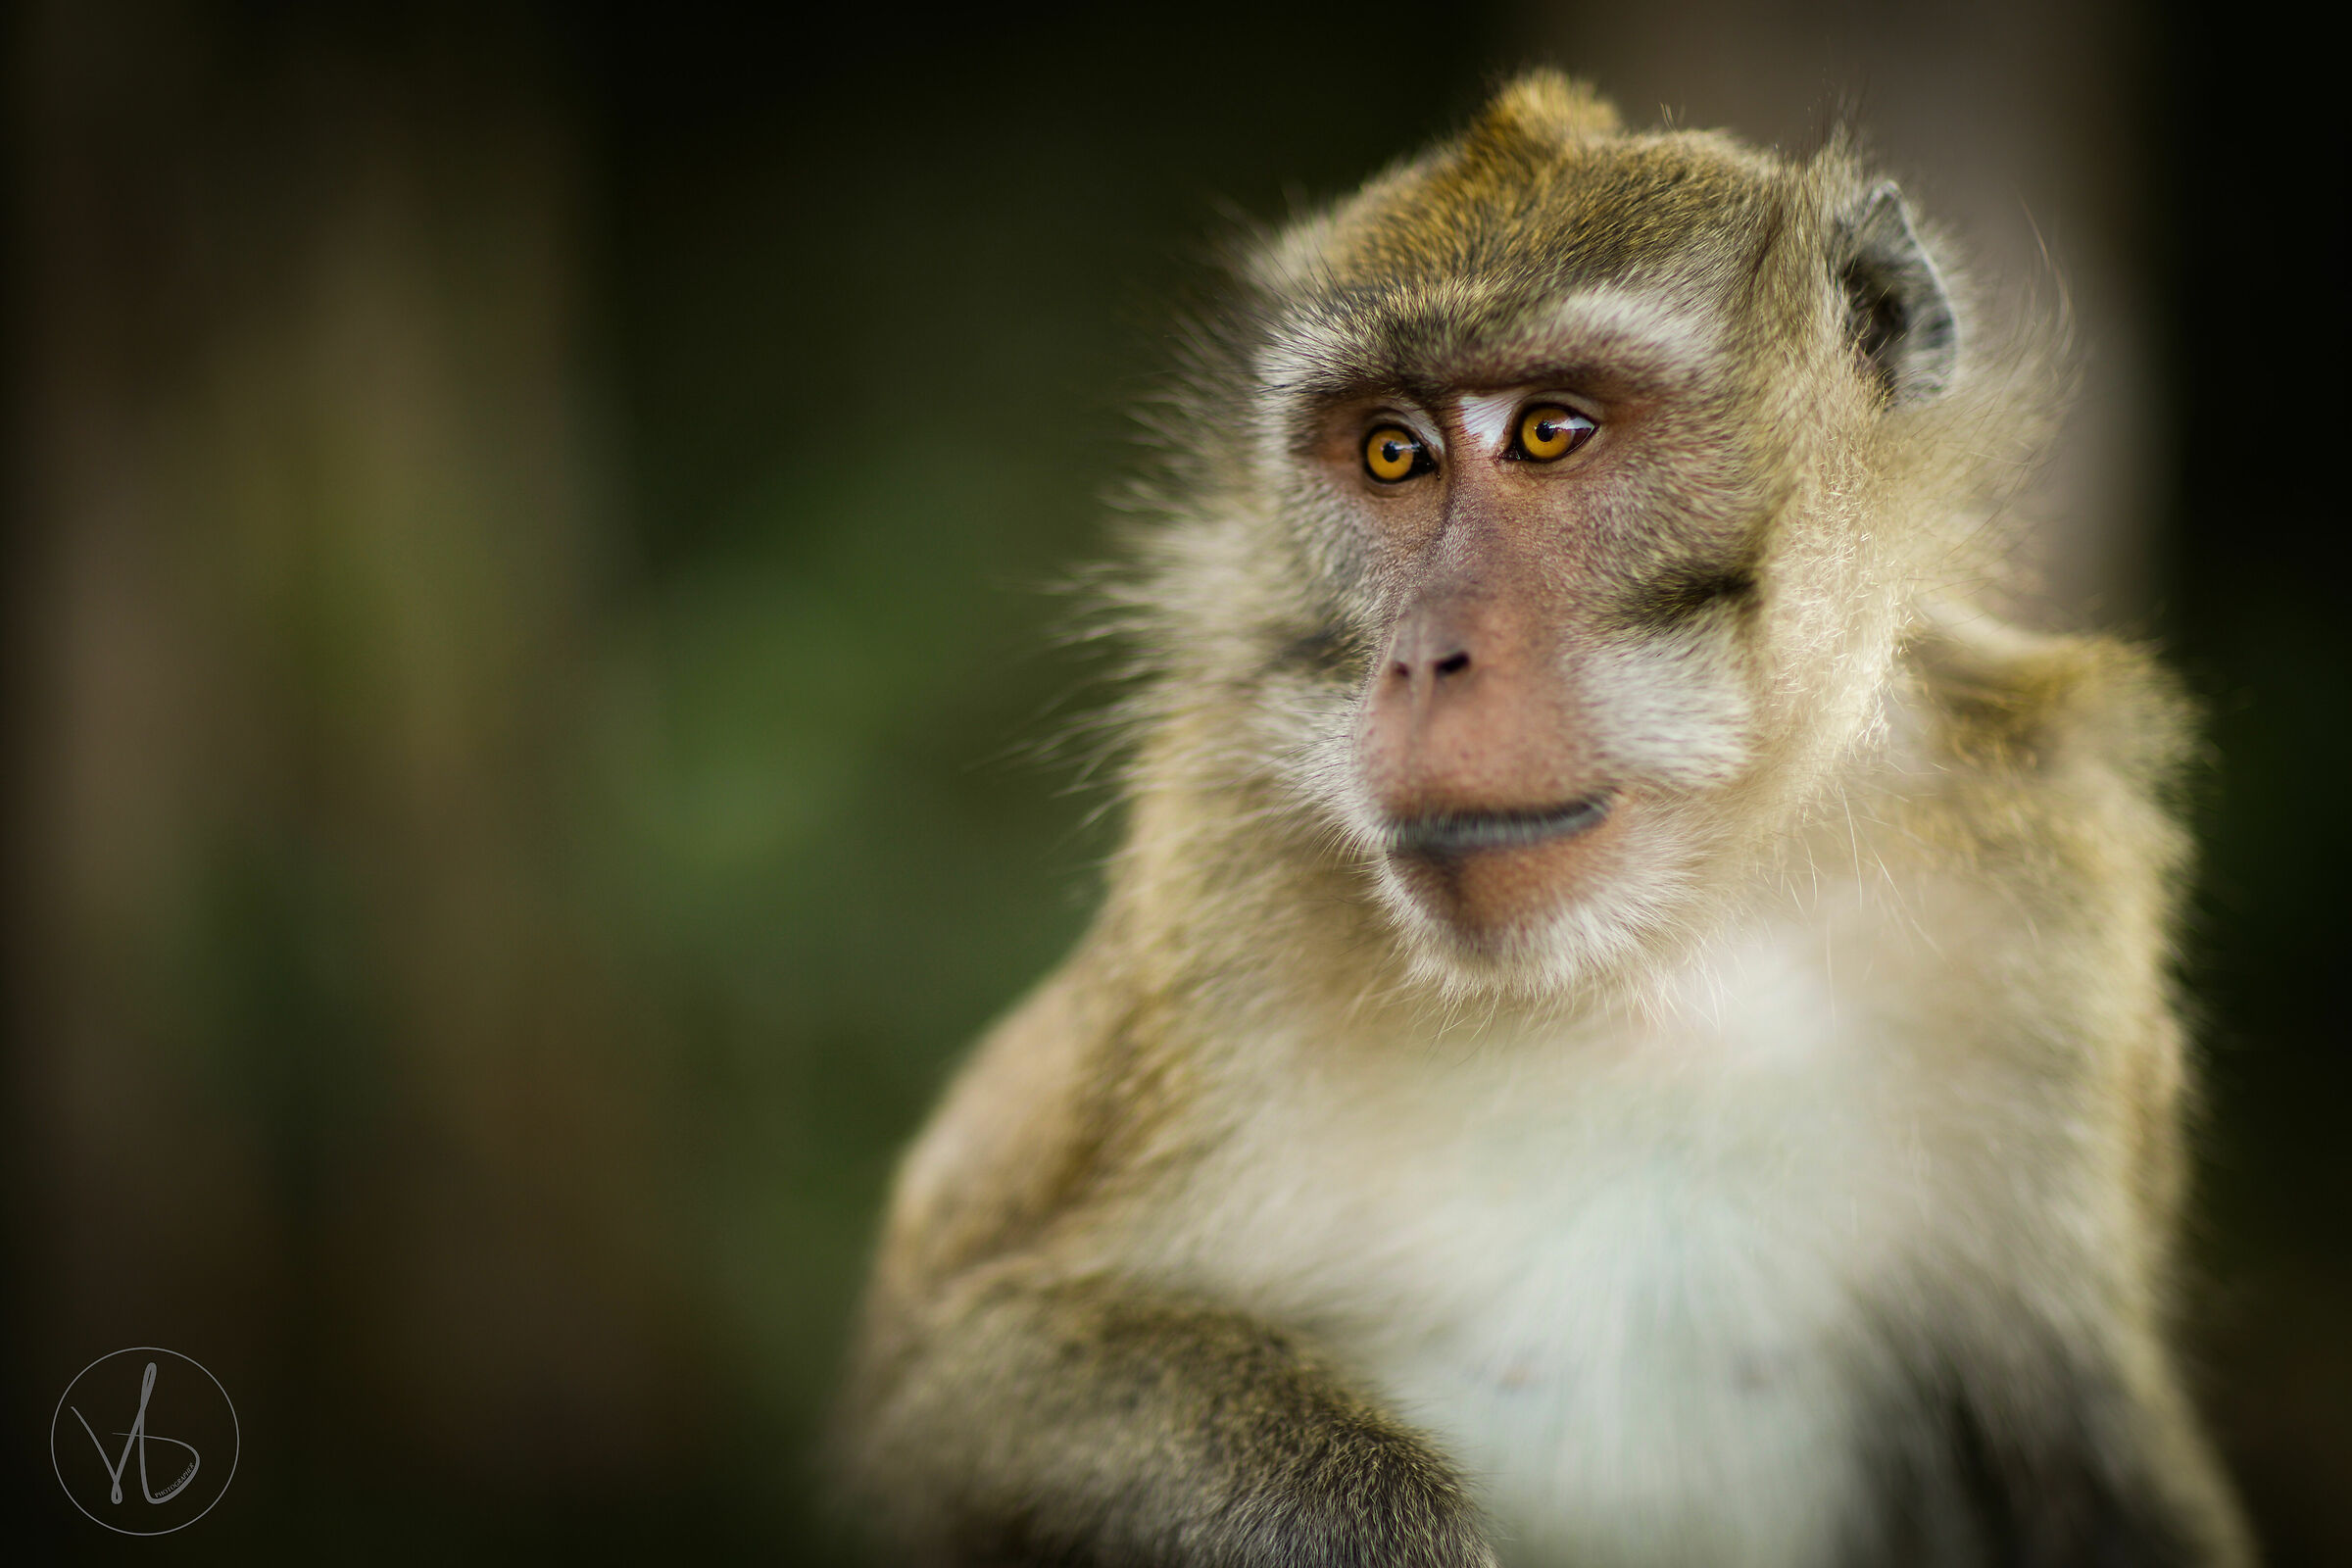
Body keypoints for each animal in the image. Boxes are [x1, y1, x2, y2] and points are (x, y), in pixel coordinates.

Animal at [830, 73, 2254, 1568]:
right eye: (1390, 453)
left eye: (1549, 432)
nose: (1425, 660)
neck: (1653, 952)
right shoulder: (1213, 877)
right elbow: (946, 1393)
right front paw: (1363, 1522)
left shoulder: (2047, 867)